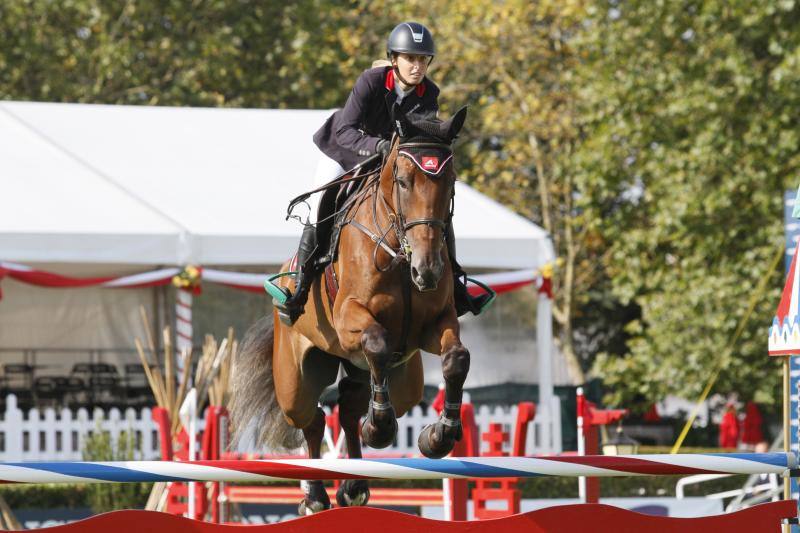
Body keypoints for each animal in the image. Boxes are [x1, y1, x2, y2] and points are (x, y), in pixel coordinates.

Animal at [230, 102, 468, 512]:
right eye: (402, 181)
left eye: (450, 181)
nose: (428, 271)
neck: (400, 253)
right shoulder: (348, 320)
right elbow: (377, 342)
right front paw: (381, 428)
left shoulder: (435, 323)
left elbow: (457, 359)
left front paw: (439, 435)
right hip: (295, 380)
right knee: (312, 419)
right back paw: (315, 495)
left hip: (394, 380)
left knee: (350, 405)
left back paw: (353, 485)